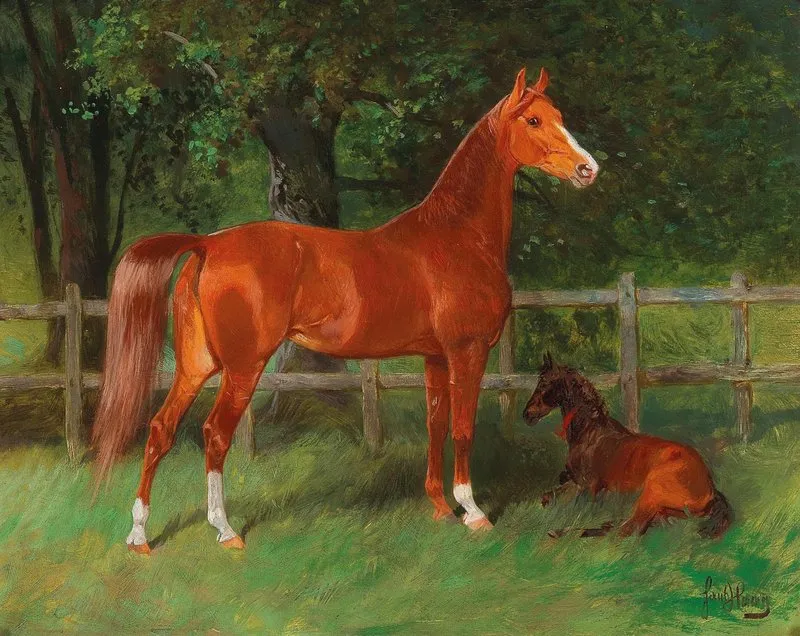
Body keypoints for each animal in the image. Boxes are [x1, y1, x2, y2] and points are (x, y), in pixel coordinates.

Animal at [92, 68, 599, 554]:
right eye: (533, 120)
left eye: (559, 115)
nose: (588, 168)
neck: (456, 235)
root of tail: (208, 244)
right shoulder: (466, 352)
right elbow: (463, 428)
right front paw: (472, 512)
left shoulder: (435, 357)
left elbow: (436, 425)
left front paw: (439, 507)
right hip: (242, 367)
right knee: (215, 435)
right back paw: (226, 531)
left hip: (197, 365)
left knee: (160, 429)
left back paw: (139, 537)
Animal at [523, 354, 732, 538]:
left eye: (544, 383)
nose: (526, 415)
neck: (590, 432)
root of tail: (711, 488)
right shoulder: (575, 483)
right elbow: (546, 497)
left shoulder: (589, 489)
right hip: (665, 511)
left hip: (651, 493)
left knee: (627, 530)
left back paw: (562, 532)